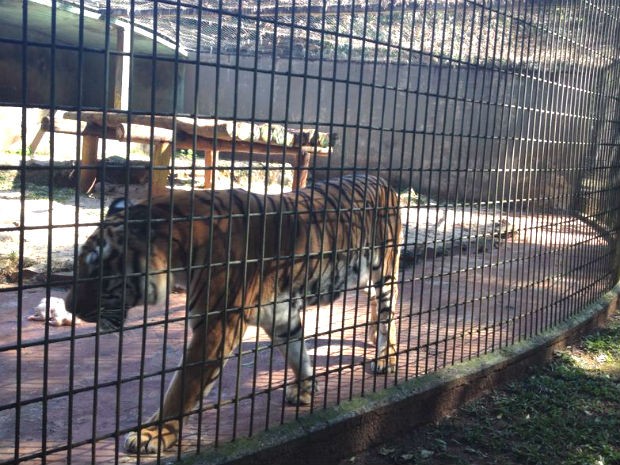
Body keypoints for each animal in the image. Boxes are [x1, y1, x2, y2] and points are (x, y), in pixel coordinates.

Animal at [64, 172, 402, 452]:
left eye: (97, 267)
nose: (68, 306)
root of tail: (384, 182)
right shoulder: (279, 314)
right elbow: (296, 352)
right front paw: (305, 389)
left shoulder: (218, 323)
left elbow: (183, 387)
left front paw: (153, 434)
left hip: (382, 271)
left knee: (390, 311)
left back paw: (386, 357)